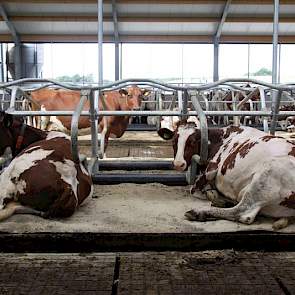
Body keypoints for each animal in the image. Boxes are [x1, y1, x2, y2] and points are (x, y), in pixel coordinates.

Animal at [160, 121, 295, 230]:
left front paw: (211, 195)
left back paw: (199, 212)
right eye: (173, 141)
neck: (221, 139)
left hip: (267, 175)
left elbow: (195, 190)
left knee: (243, 212)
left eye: (192, 142)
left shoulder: (211, 169)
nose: (178, 164)